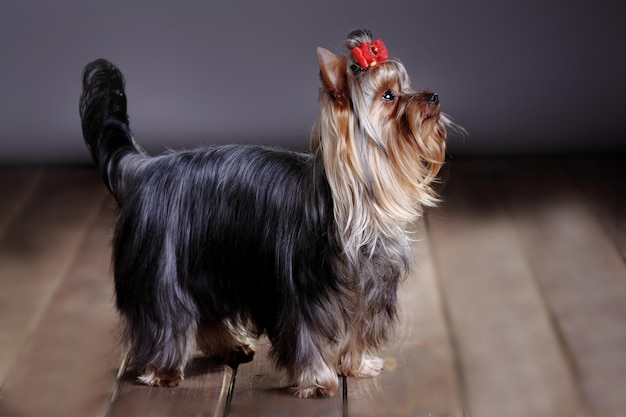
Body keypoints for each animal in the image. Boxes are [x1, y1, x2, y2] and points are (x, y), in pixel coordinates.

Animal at [80, 29, 450, 396]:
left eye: (407, 85)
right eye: (389, 96)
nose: (433, 97)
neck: (354, 208)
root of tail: (146, 168)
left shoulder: (371, 283)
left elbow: (360, 328)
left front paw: (357, 365)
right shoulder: (301, 291)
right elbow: (306, 336)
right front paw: (317, 380)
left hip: (209, 264)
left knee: (206, 310)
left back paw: (230, 346)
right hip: (165, 268)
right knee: (165, 315)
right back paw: (161, 370)